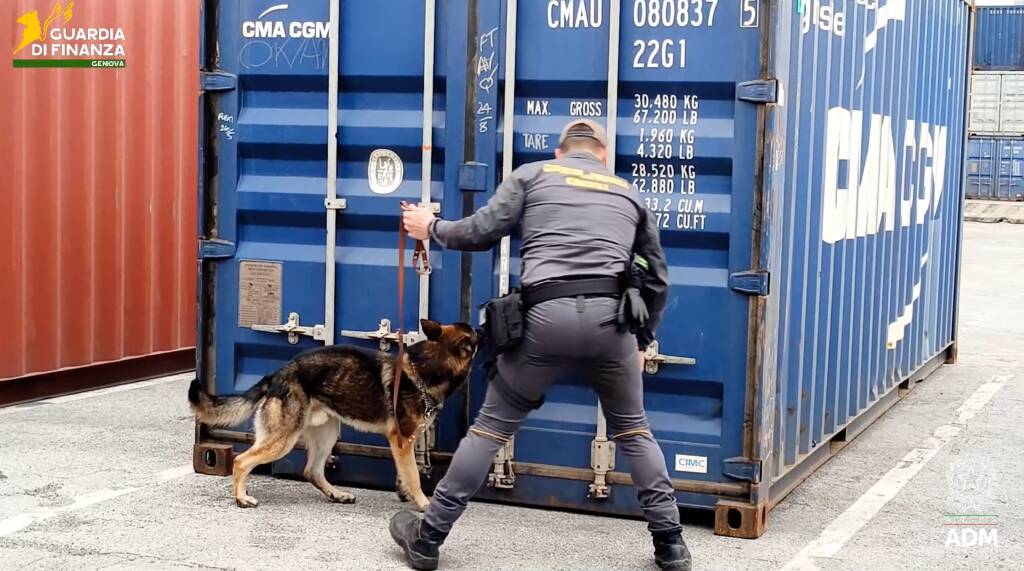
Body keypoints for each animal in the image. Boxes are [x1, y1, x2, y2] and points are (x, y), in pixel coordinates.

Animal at [188, 318, 478, 511]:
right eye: (475, 335)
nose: (484, 317)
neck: (426, 367)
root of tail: (278, 374)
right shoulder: (402, 441)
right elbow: (415, 477)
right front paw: (423, 504)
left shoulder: (403, 444)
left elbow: (407, 472)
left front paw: (405, 493)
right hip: (283, 440)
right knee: (242, 461)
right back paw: (241, 497)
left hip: (326, 434)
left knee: (312, 471)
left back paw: (336, 494)